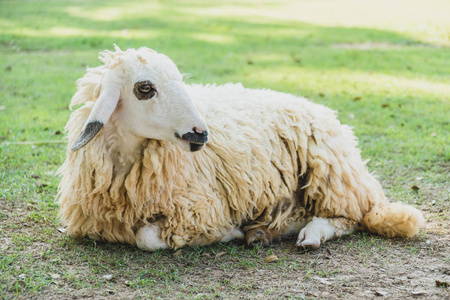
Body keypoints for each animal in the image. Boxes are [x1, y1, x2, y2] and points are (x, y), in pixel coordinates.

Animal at [57, 44, 426, 251]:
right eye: (144, 88)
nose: (201, 133)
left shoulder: (202, 208)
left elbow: (147, 239)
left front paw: (227, 234)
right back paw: (264, 232)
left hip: (332, 177)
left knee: (350, 217)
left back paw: (308, 235)